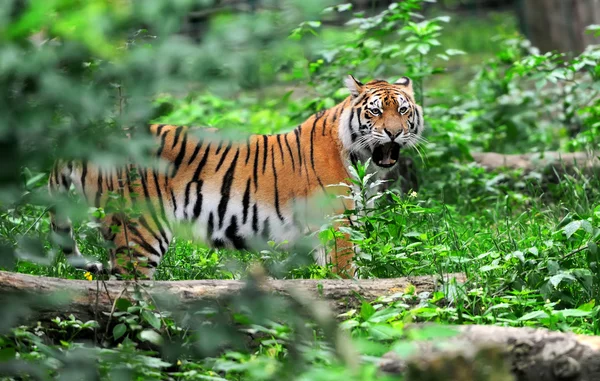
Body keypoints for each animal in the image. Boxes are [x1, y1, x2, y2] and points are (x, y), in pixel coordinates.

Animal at [48, 74, 422, 278]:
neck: (364, 162)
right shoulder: (337, 227)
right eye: (375, 111)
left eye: (403, 110)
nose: (393, 133)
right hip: (139, 232)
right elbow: (347, 276)